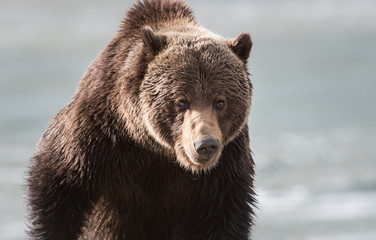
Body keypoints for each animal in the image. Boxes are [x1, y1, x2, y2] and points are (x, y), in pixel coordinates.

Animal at [26, 0, 256, 240]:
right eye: (181, 101)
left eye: (220, 101)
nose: (205, 144)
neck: (158, 150)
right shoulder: (98, 138)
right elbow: (58, 183)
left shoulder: (223, 170)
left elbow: (222, 218)